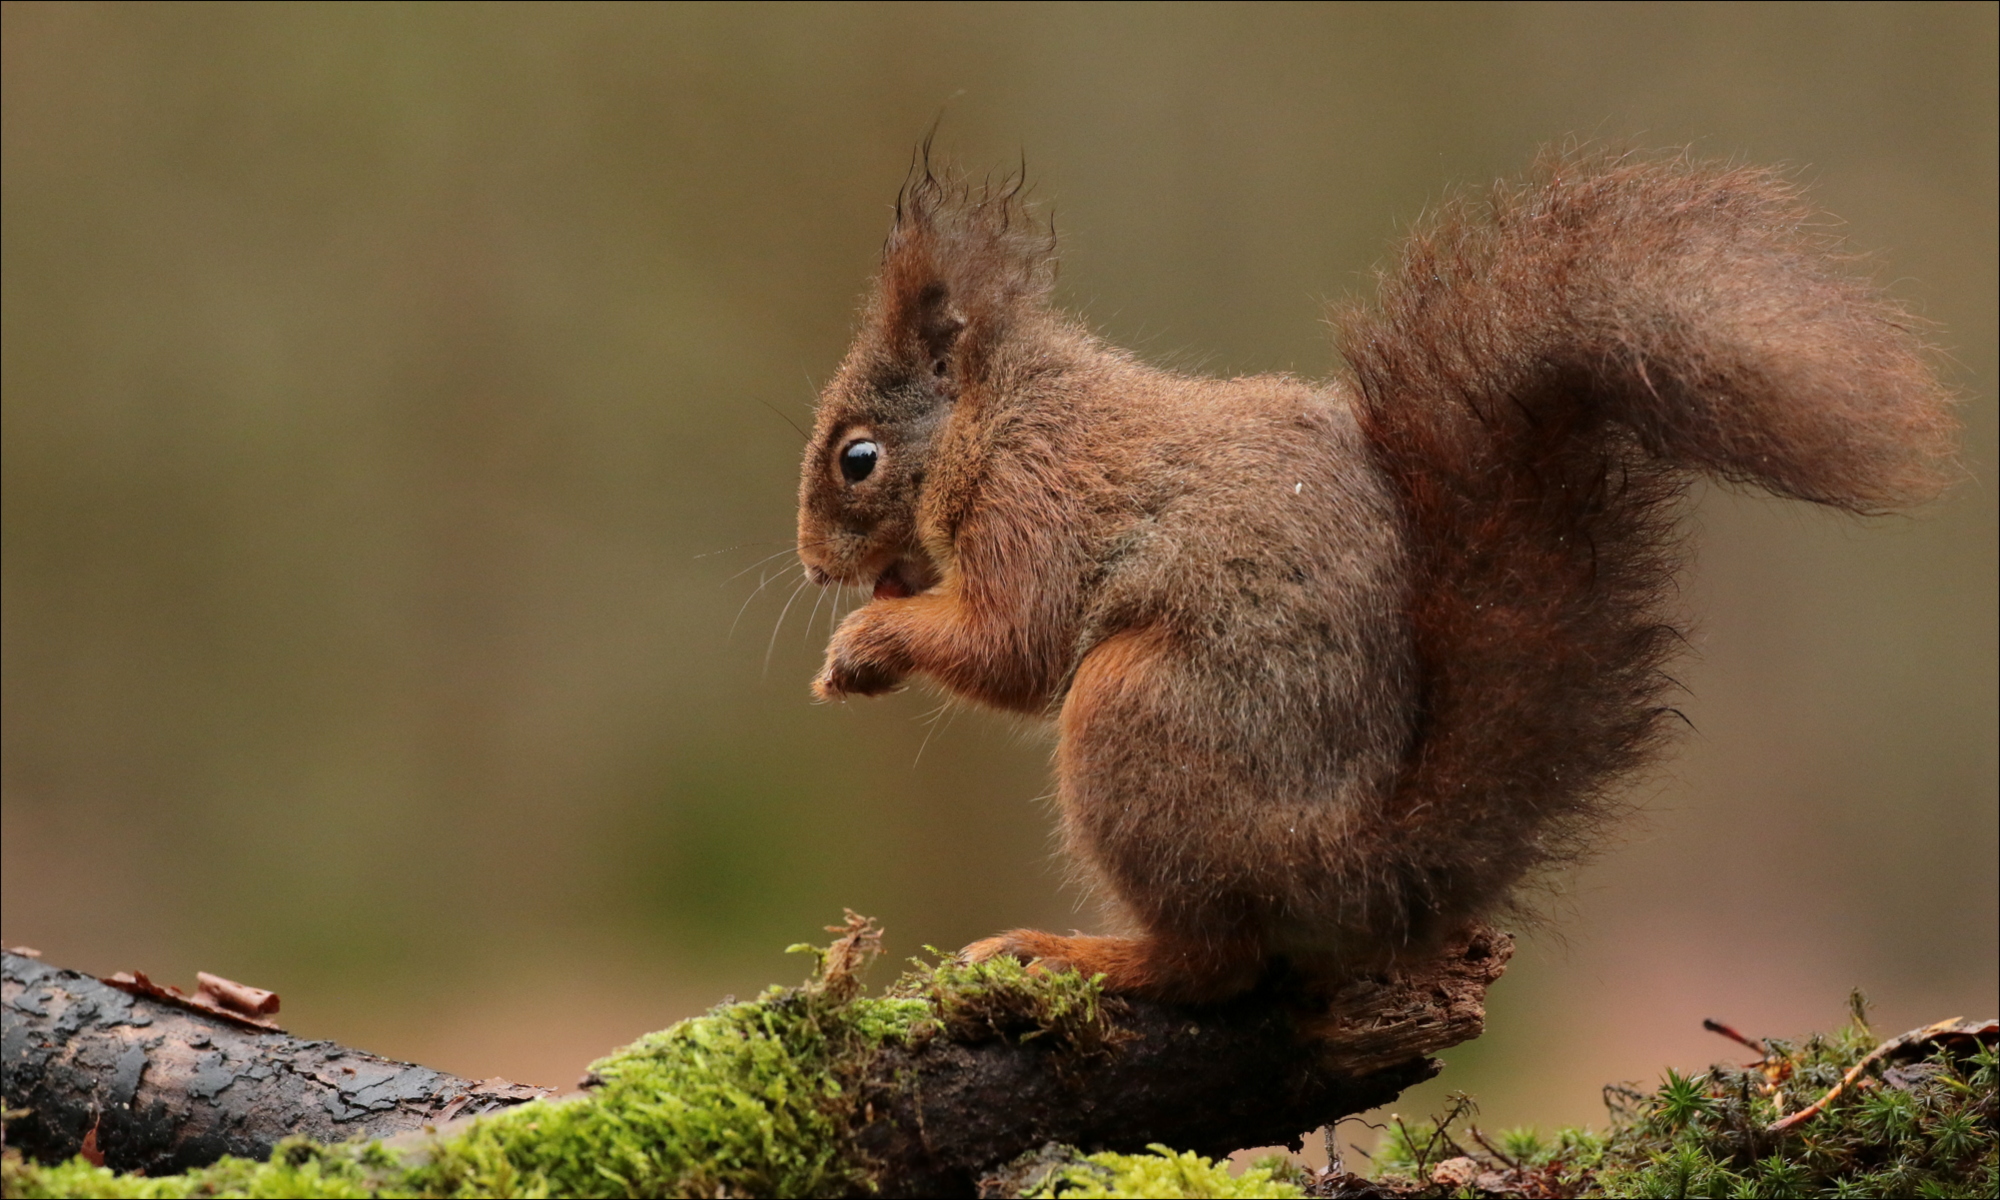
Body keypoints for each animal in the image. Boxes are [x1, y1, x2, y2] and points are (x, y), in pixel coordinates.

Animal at [793, 147, 1957, 1003]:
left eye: (857, 458)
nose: (811, 566)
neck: (996, 416)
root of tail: (1348, 866)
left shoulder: (1033, 499)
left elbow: (1014, 645)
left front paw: (865, 645)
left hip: (1135, 714)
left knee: (1211, 964)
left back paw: (1076, 955)